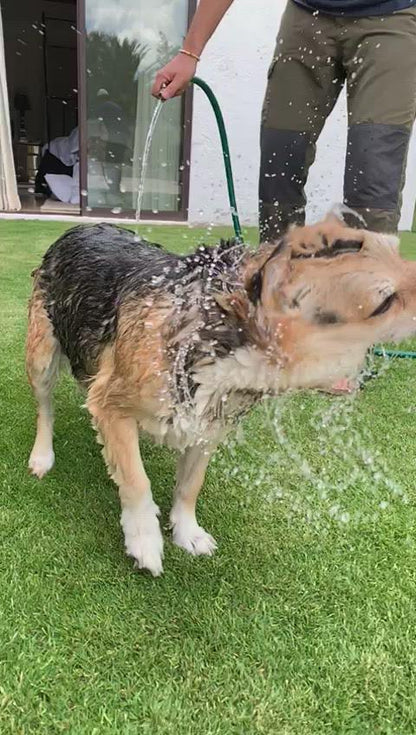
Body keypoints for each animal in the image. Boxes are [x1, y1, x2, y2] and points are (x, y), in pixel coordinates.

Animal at [26, 218, 416, 576]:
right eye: (385, 302)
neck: (221, 332)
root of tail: (80, 226)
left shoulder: (208, 422)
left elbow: (190, 485)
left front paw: (187, 532)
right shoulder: (111, 401)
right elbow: (137, 481)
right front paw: (144, 541)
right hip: (41, 354)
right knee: (45, 408)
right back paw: (42, 455)